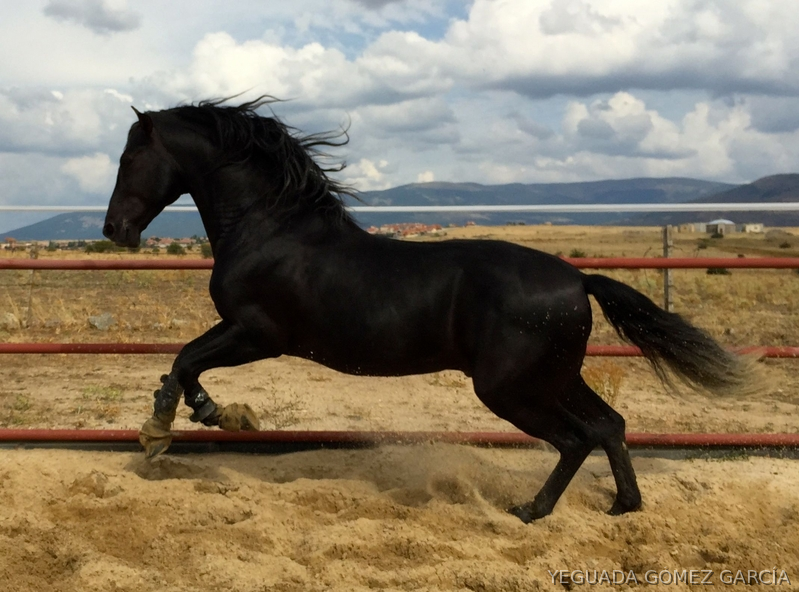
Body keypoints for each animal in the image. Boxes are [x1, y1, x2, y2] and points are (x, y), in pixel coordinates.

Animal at [103, 97, 755, 521]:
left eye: (127, 160)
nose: (114, 230)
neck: (271, 228)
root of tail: (576, 279)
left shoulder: (256, 333)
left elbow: (186, 361)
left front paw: (191, 422)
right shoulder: (248, 334)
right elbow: (180, 362)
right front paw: (188, 422)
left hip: (511, 387)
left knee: (577, 438)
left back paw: (531, 511)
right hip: (554, 377)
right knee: (610, 425)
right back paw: (624, 506)